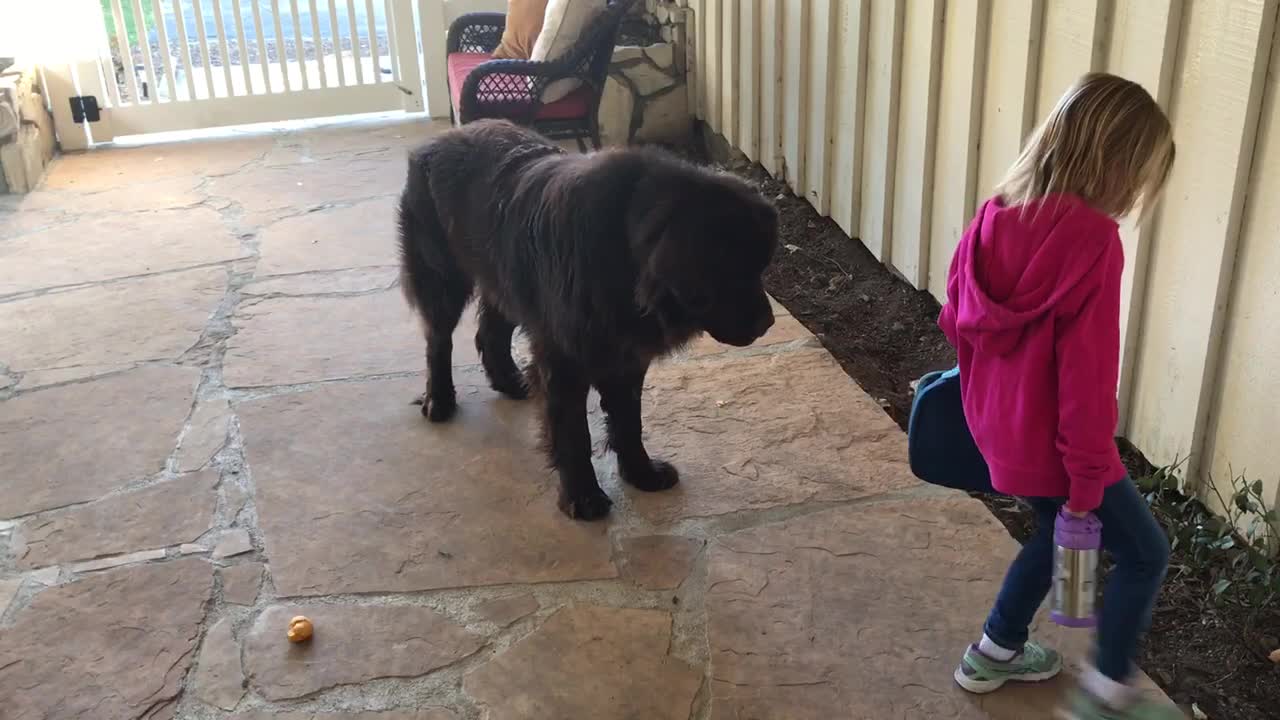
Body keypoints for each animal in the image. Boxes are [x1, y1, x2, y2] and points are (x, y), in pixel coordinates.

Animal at [394, 121, 773, 515]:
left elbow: (628, 421)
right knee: (438, 339)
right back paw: (439, 400)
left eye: (761, 267)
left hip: (505, 279)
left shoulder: (626, 357)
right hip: (441, 276)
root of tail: (441, 139)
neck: (625, 258)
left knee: (490, 333)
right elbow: (574, 433)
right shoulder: (565, 360)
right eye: (728, 270)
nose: (768, 323)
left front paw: (642, 473)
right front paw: (583, 497)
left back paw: (511, 382)